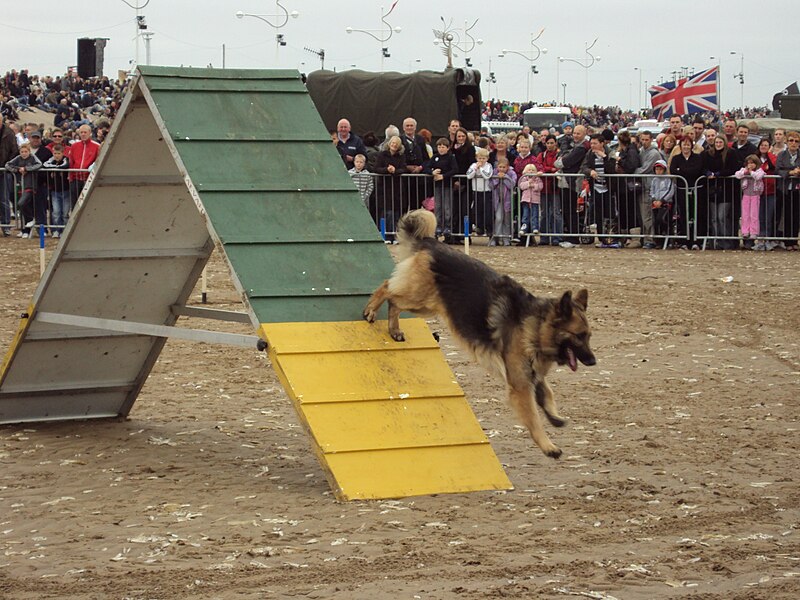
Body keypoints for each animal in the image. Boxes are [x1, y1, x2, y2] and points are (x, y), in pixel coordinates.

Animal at [366, 209, 596, 458]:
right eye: (578, 335)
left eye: (588, 336)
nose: (593, 361)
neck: (535, 326)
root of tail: (430, 243)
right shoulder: (520, 386)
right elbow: (534, 419)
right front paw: (548, 446)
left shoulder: (532, 376)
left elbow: (548, 394)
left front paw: (555, 416)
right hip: (419, 299)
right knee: (388, 289)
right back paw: (371, 310)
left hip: (425, 306)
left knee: (394, 301)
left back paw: (394, 329)